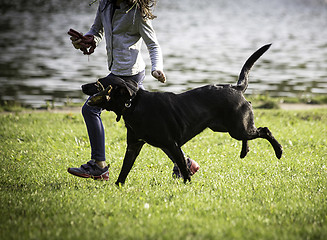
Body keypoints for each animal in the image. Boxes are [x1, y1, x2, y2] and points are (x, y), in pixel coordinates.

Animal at [88, 44, 284, 185]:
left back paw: (279, 151)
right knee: (252, 134)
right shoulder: (134, 146)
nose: (83, 86)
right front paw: (117, 186)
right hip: (227, 127)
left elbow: (182, 165)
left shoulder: (171, 144)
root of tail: (235, 88)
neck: (133, 104)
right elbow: (125, 169)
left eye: (98, 83)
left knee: (265, 130)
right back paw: (245, 151)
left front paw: (187, 184)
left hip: (237, 128)